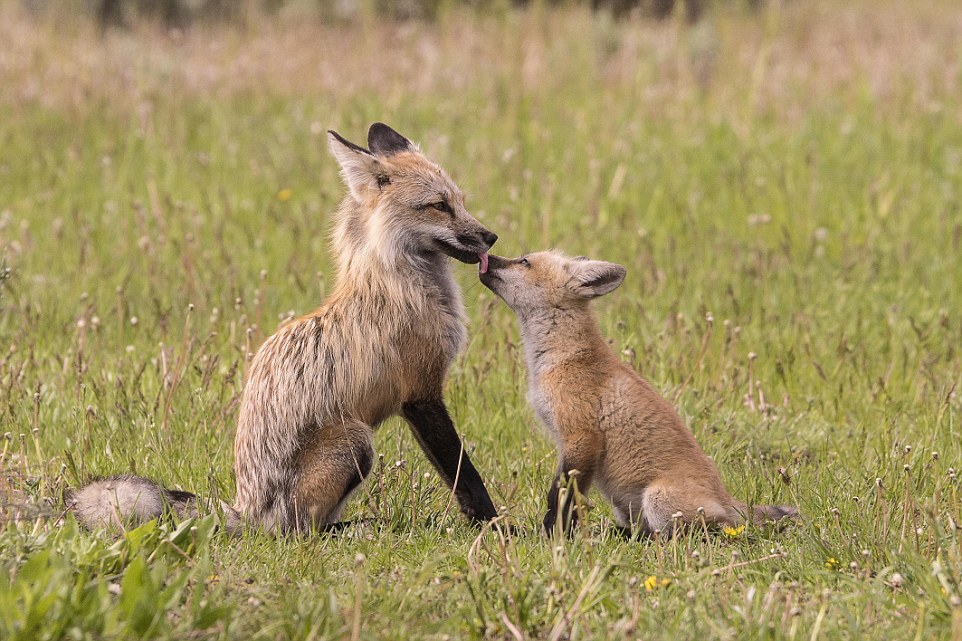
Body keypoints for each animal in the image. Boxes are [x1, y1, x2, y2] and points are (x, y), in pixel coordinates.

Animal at [69, 122, 502, 532]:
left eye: (460, 201)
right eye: (439, 206)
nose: (491, 236)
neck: (400, 283)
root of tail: (247, 512)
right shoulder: (420, 393)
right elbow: (465, 476)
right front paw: (497, 528)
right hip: (355, 443)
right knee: (298, 532)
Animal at [476, 250, 800, 536]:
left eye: (524, 261)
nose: (487, 256)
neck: (565, 358)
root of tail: (726, 500)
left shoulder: (582, 436)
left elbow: (562, 498)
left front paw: (553, 535)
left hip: (658, 500)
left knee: (696, 533)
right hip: (629, 508)